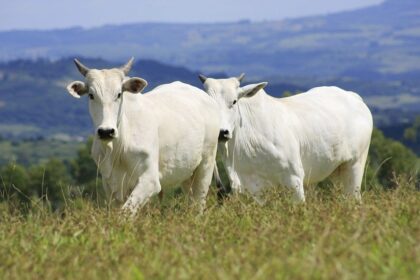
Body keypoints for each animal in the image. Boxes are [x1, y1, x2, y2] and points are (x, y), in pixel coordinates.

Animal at [65, 59, 220, 214]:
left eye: (119, 94)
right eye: (91, 95)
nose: (106, 131)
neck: (117, 149)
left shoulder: (150, 180)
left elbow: (126, 212)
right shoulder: (111, 185)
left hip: (206, 164)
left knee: (199, 203)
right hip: (186, 172)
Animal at [200, 73, 374, 202]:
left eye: (234, 101)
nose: (221, 132)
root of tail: (354, 97)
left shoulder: (294, 179)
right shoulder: (253, 188)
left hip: (354, 166)